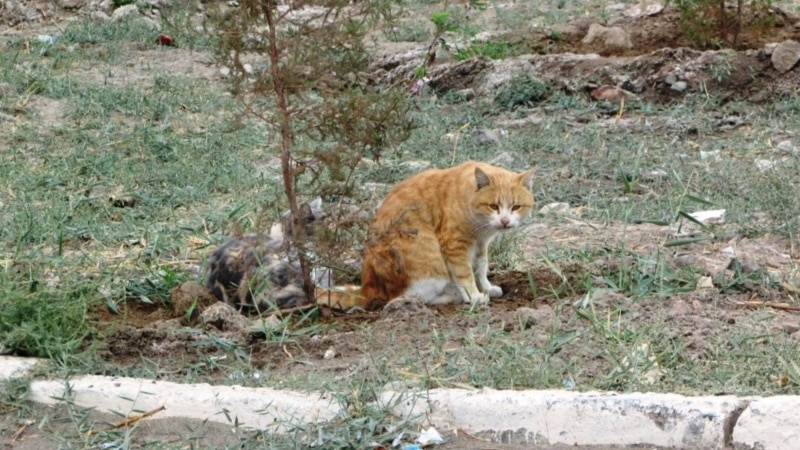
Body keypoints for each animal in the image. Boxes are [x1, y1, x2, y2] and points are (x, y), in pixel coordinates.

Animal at [356, 159, 536, 310]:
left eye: (516, 207)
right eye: (493, 206)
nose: (505, 221)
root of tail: (366, 289)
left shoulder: (480, 243)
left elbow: (481, 266)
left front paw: (487, 288)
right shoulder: (454, 245)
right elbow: (465, 273)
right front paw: (474, 296)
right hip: (429, 257)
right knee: (414, 297)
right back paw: (454, 295)